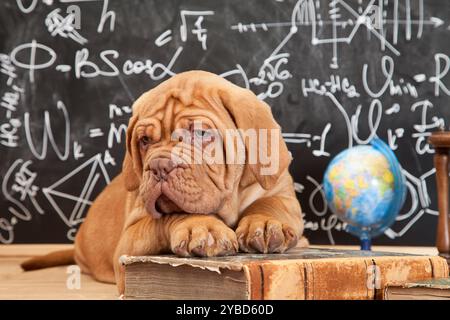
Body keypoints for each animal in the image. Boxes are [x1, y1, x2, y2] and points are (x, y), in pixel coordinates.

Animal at [22, 70, 308, 296]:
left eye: (200, 133)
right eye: (144, 141)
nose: (159, 166)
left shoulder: (282, 194)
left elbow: (271, 204)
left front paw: (265, 225)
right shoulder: (129, 242)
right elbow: (173, 215)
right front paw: (201, 227)